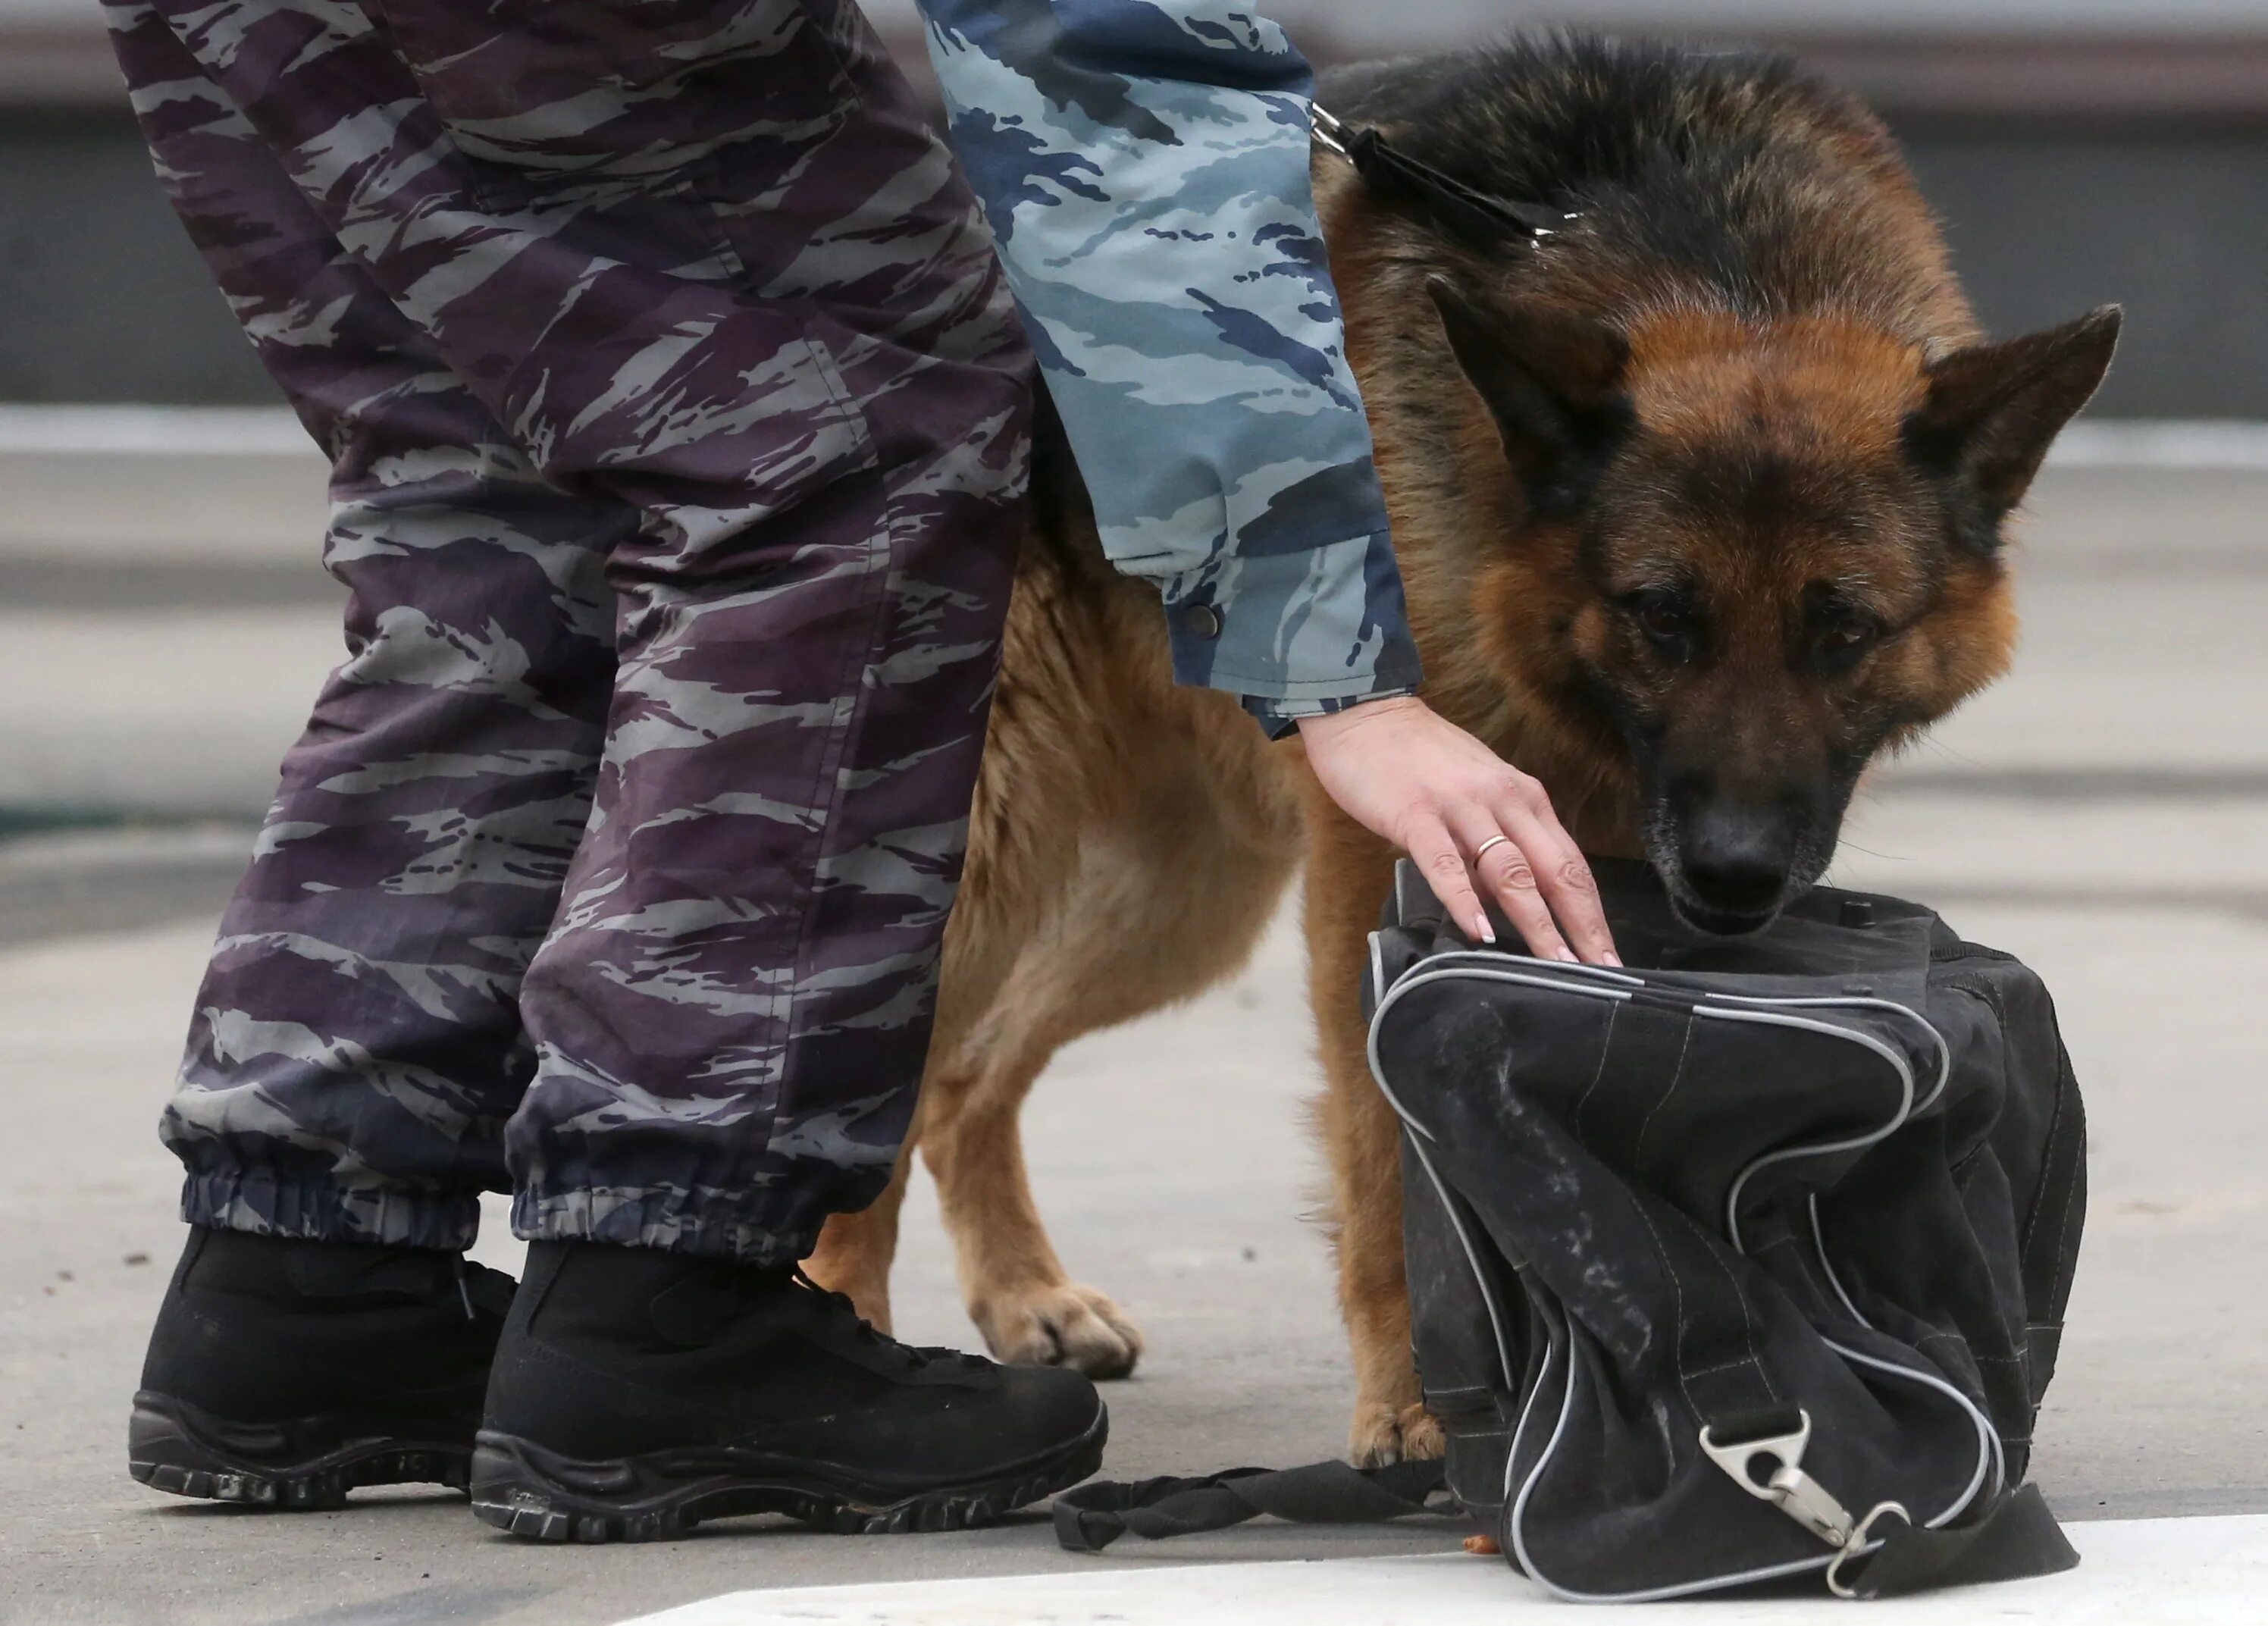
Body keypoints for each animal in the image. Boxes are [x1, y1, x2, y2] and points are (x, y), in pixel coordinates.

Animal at [807, 34, 2113, 1460]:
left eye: (1844, 631)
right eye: (1662, 615)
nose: (1731, 879)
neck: (1711, 256)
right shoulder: (1391, 877)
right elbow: (1383, 1157)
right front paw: (1418, 1402)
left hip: (1176, 903)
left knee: (962, 1078)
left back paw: (1019, 1293)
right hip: (994, 861)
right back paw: (846, 1338)